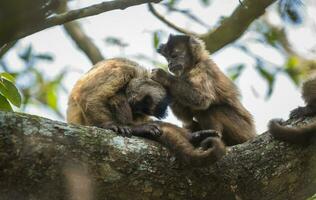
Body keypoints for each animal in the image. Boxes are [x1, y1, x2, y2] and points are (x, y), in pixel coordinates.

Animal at [66, 58, 226, 167]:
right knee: (116, 96)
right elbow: (87, 95)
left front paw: (193, 136)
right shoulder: (120, 70)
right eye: (144, 104)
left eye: (143, 108)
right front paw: (110, 125)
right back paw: (135, 129)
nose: (136, 108)